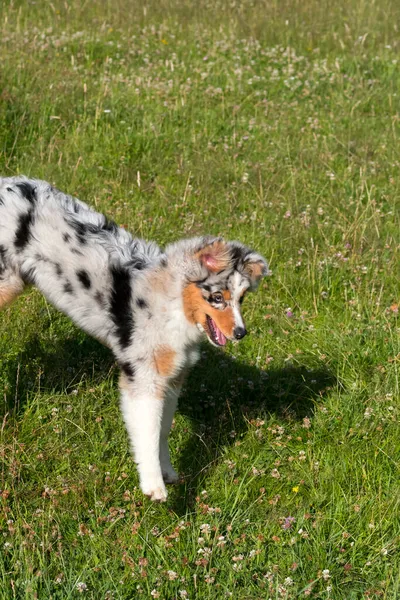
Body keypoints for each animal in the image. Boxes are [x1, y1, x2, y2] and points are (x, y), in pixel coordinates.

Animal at [0, 177, 268, 502]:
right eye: (217, 297)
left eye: (241, 299)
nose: (241, 333)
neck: (172, 303)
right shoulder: (144, 378)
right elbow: (148, 433)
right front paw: (154, 486)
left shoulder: (172, 377)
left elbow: (163, 430)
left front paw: (168, 472)